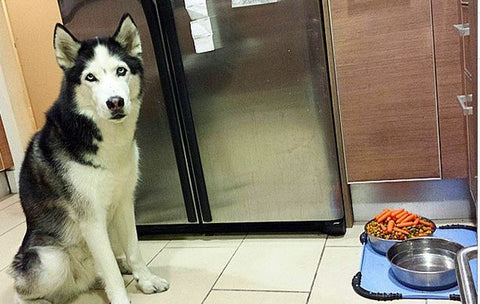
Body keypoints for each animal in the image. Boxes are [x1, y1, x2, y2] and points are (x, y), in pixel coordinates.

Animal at [8, 14, 170, 304]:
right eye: (90, 77)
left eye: (121, 71)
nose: (115, 102)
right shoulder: (91, 218)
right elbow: (111, 272)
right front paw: (121, 298)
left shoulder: (125, 202)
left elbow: (135, 249)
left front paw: (146, 280)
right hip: (51, 261)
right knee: (23, 290)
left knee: (110, 263)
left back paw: (122, 266)